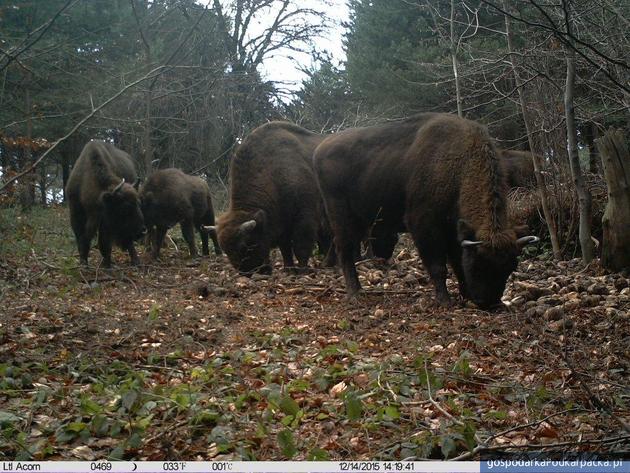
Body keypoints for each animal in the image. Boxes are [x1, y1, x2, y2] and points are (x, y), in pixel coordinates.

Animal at [215, 121, 328, 274]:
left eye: (247, 245)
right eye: (226, 251)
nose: (248, 272)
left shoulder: (305, 217)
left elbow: (301, 246)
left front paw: (303, 270)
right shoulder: (281, 222)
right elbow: (285, 248)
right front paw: (288, 268)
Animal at [314, 112, 540, 308]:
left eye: (510, 267)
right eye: (479, 264)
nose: (490, 303)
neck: (458, 163)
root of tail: (320, 149)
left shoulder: (455, 231)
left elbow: (457, 262)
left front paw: (464, 294)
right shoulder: (424, 225)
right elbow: (438, 265)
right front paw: (444, 300)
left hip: (360, 219)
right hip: (341, 217)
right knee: (343, 248)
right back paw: (354, 293)